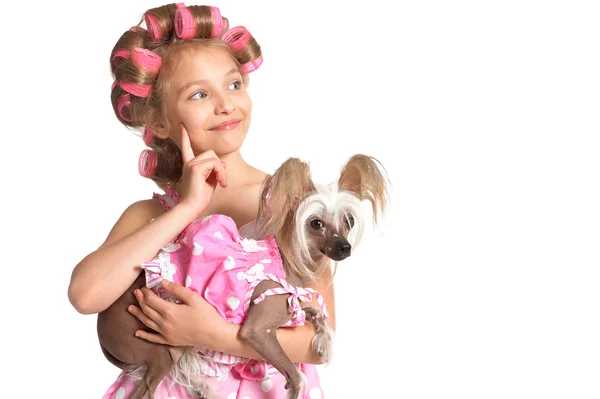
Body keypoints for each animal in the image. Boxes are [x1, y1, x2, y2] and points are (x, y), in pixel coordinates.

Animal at [96, 153, 390, 399]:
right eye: (316, 223)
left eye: (349, 221)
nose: (345, 247)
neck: (285, 262)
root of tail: (101, 331)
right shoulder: (257, 331)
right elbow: (296, 376)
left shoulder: (289, 307)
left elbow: (314, 312)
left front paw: (324, 341)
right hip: (156, 351)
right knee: (144, 391)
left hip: (173, 350)